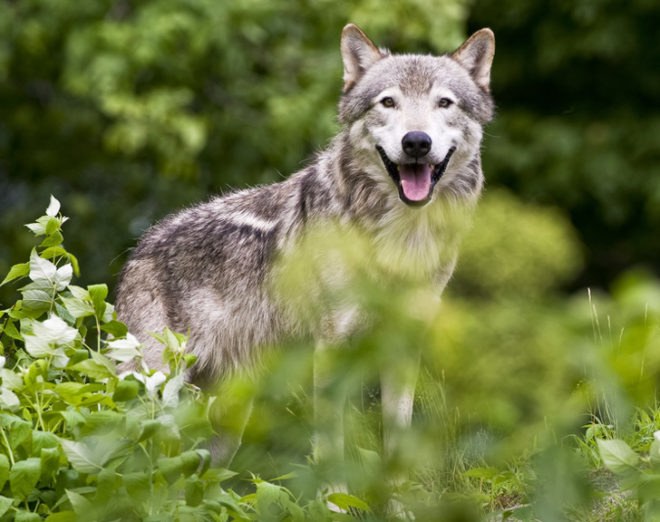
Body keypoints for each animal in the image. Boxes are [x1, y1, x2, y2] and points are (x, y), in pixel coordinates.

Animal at [116, 23, 494, 479]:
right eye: (388, 102)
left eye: (444, 102)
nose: (417, 142)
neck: (400, 242)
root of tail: (141, 247)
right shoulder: (330, 351)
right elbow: (331, 450)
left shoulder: (401, 348)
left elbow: (397, 446)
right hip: (154, 392)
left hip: (227, 424)